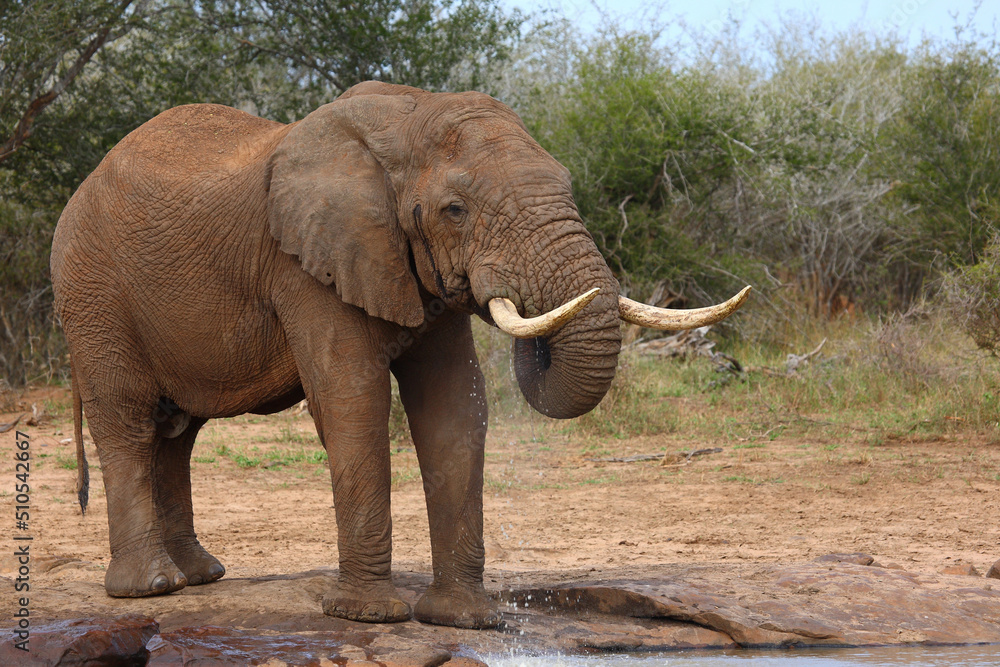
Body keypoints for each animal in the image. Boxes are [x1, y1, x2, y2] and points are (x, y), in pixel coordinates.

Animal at [50, 81, 748, 629]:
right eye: (455, 209)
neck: (409, 118)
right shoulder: (307, 266)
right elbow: (353, 402)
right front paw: (368, 615)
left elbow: (455, 408)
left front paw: (466, 620)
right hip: (93, 293)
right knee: (129, 421)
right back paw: (152, 588)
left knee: (178, 432)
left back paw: (200, 576)